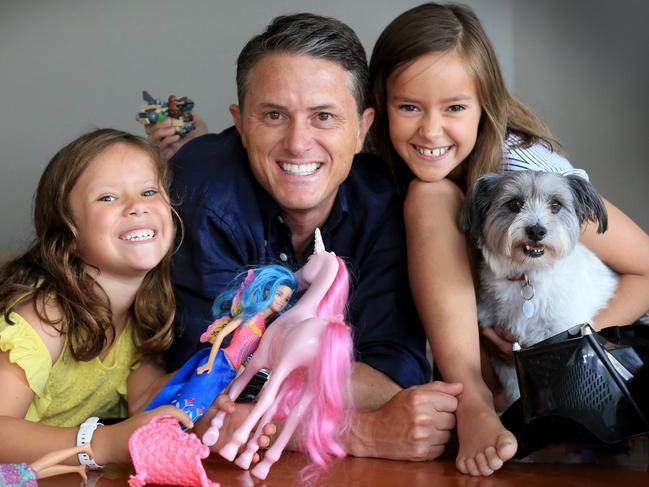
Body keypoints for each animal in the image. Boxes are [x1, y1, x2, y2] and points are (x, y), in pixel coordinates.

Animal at [458, 172, 616, 408]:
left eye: (556, 205)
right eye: (514, 204)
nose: (536, 231)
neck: (528, 275)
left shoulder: (560, 338)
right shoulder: (507, 359)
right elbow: (516, 389)